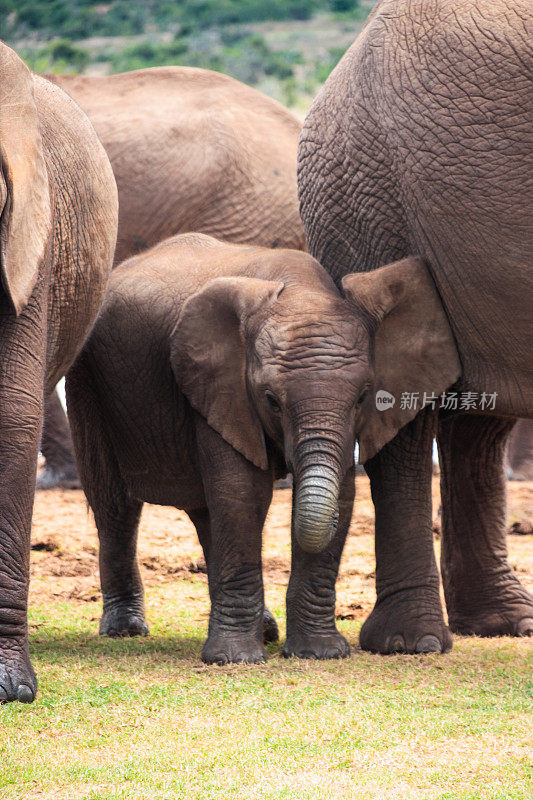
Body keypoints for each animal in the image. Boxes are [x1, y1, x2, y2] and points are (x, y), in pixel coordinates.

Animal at [66, 233, 366, 664]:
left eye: (361, 398)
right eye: (271, 400)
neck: (300, 290)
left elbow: (342, 491)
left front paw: (320, 654)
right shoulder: (220, 386)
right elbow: (243, 492)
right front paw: (235, 660)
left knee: (206, 513)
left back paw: (265, 629)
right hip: (87, 380)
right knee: (115, 504)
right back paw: (125, 630)